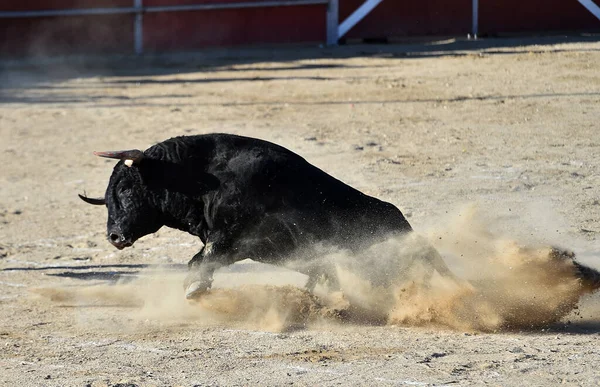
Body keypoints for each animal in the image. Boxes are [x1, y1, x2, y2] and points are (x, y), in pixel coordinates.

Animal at [78, 132, 454, 298]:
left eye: (126, 190)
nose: (114, 236)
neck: (200, 177)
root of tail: (401, 221)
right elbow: (199, 260)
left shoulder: (232, 238)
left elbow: (204, 259)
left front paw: (194, 288)